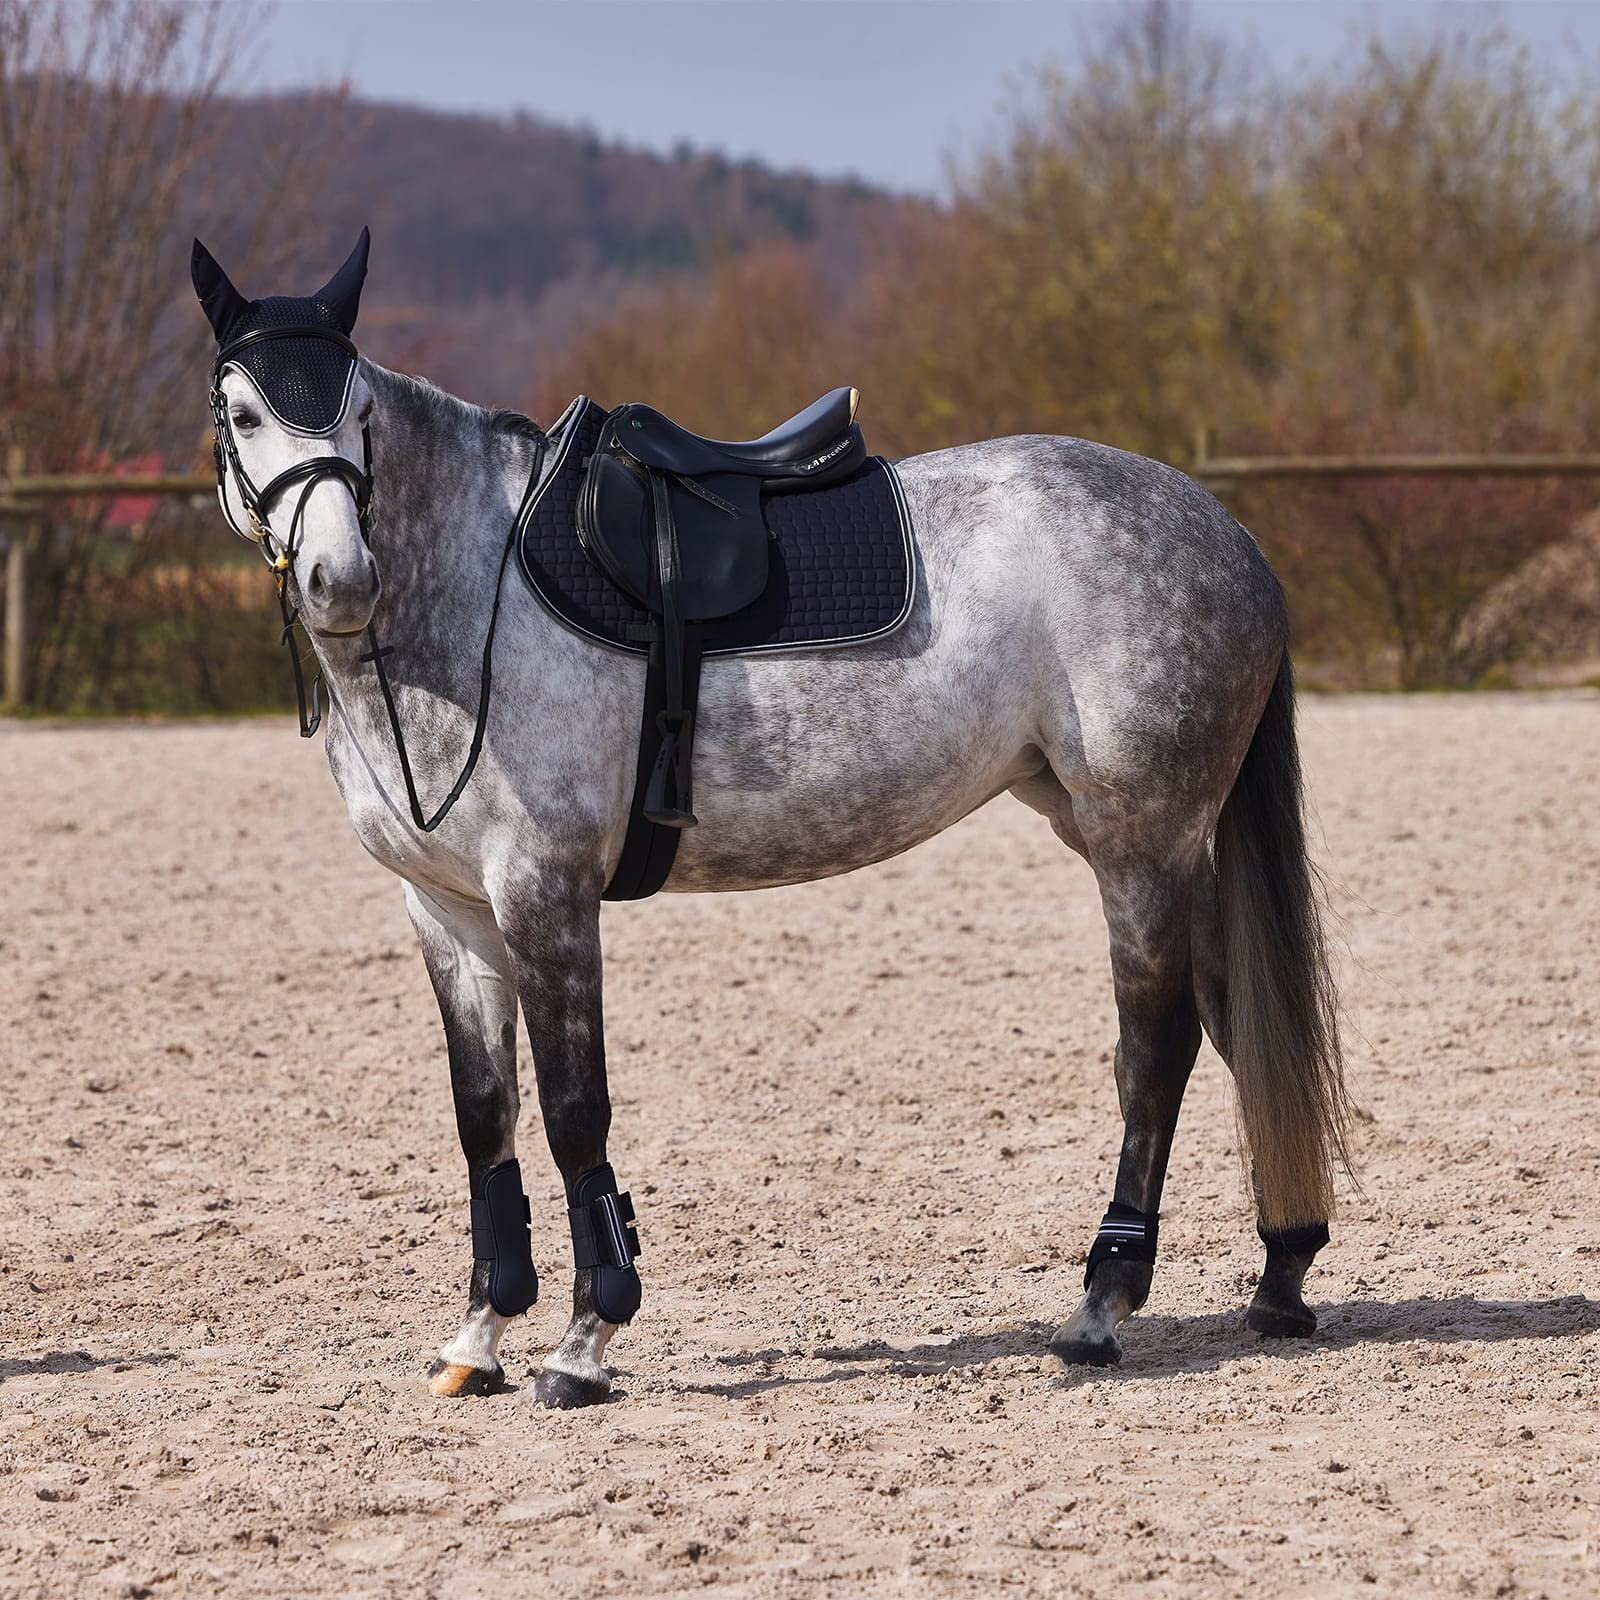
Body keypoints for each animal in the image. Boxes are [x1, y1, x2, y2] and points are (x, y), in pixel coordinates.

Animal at [191, 231, 1349, 1408]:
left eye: (355, 410)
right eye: (240, 411)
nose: (339, 578)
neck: (475, 589)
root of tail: (1225, 532)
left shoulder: (545, 892)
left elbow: (573, 1112)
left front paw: (583, 1341)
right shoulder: (446, 909)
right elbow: (486, 1116)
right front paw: (479, 1334)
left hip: (1139, 843)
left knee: (1157, 1048)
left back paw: (1101, 1307)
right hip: (1150, 838)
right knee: (1234, 1021)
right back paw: (1280, 1275)